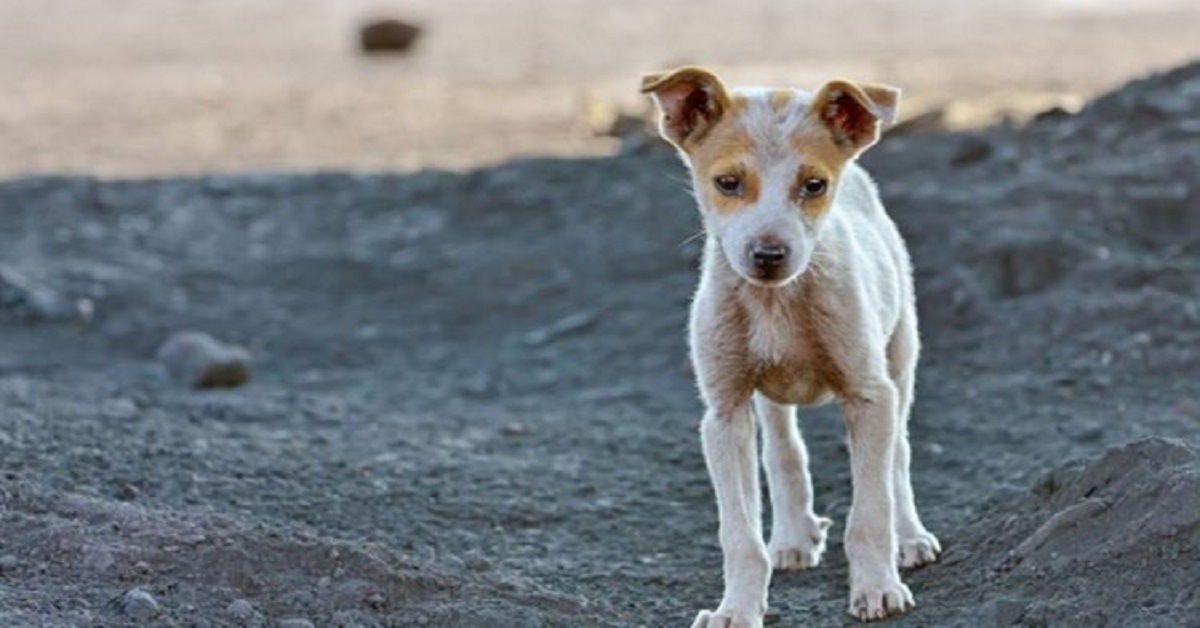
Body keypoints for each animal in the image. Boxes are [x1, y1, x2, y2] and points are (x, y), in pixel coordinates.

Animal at [643, 66, 940, 624]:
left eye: (814, 185)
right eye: (728, 183)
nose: (768, 254)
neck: (776, 303)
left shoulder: (870, 395)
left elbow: (871, 511)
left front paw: (877, 587)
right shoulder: (724, 414)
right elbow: (740, 535)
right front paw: (737, 609)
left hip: (900, 357)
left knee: (899, 456)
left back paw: (910, 537)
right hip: (769, 395)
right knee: (783, 450)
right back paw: (793, 535)